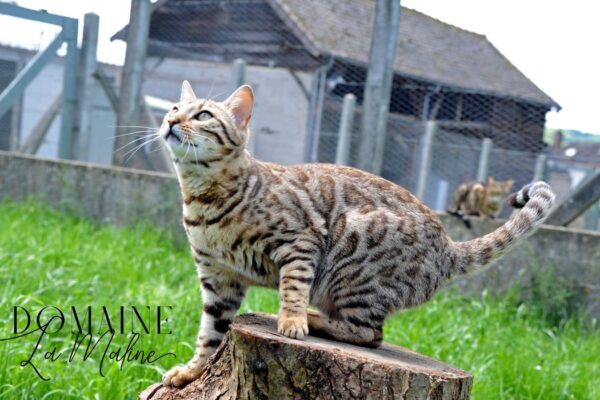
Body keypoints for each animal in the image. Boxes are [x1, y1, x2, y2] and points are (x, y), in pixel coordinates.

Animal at [159, 82, 552, 388]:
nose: (170, 120)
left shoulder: (301, 241)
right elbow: (210, 333)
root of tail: (450, 247)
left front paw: (292, 321)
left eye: (203, 115)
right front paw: (191, 372)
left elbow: (292, 288)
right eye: (175, 108)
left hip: (352, 263)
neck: (203, 200)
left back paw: (312, 320)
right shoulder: (218, 280)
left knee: (370, 335)